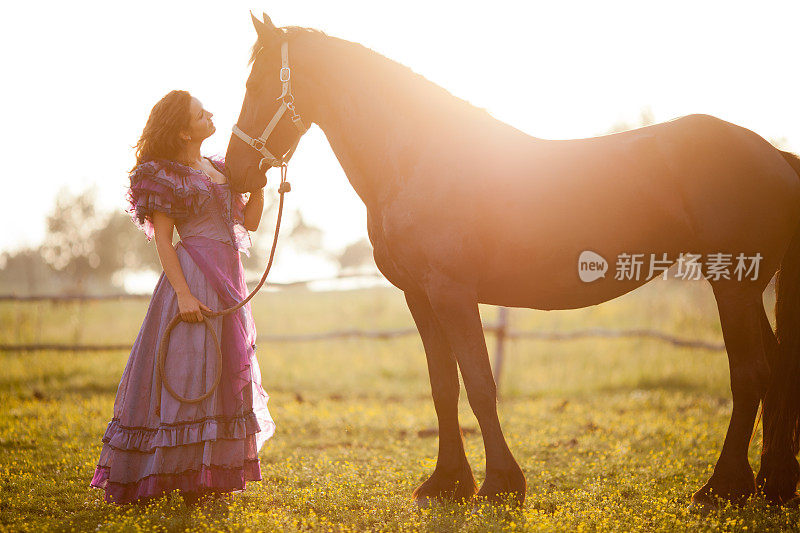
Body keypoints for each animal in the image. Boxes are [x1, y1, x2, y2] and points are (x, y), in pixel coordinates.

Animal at [222, 13, 800, 508]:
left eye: (257, 86)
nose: (235, 171)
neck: (418, 159)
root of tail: (777, 156)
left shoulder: (453, 293)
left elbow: (480, 384)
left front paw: (501, 484)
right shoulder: (419, 297)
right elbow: (444, 387)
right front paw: (447, 483)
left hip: (732, 286)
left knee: (751, 373)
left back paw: (722, 486)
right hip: (747, 286)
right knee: (776, 373)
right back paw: (772, 484)